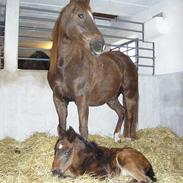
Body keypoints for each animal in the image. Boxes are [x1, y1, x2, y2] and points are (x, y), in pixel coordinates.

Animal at [47, 0, 139, 140]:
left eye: (93, 17)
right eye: (80, 15)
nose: (100, 44)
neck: (66, 67)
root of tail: (127, 59)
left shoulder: (82, 100)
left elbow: (83, 129)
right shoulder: (59, 99)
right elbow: (61, 127)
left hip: (129, 94)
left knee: (130, 114)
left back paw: (128, 138)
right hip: (111, 98)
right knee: (122, 112)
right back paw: (116, 137)